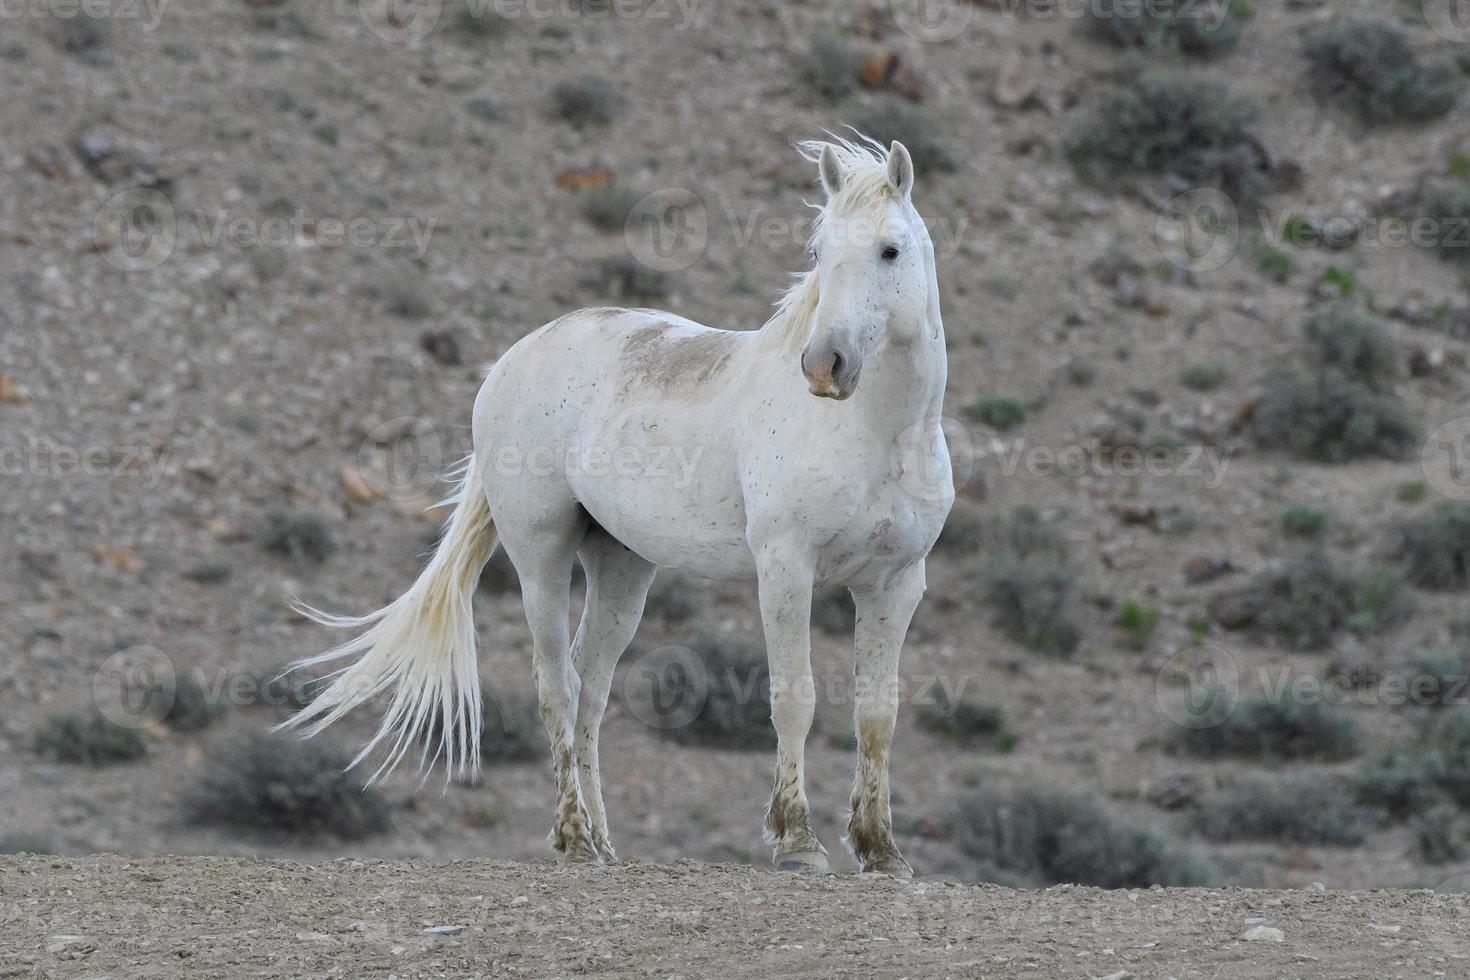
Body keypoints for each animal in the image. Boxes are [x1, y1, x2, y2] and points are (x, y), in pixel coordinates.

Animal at [282, 135, 958, 875]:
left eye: (890, 250)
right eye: (817, 251)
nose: (823, 366)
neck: (877, 433)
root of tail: (512, 361)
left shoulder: (895, 583)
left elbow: (877, 714)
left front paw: (881, 850)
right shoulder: (786, 569)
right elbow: (795, 698)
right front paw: (797, 842)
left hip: (622, 568)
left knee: (592, 690)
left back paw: (603, 844)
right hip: (541, 560)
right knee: (558, 687)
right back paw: (574, 836)